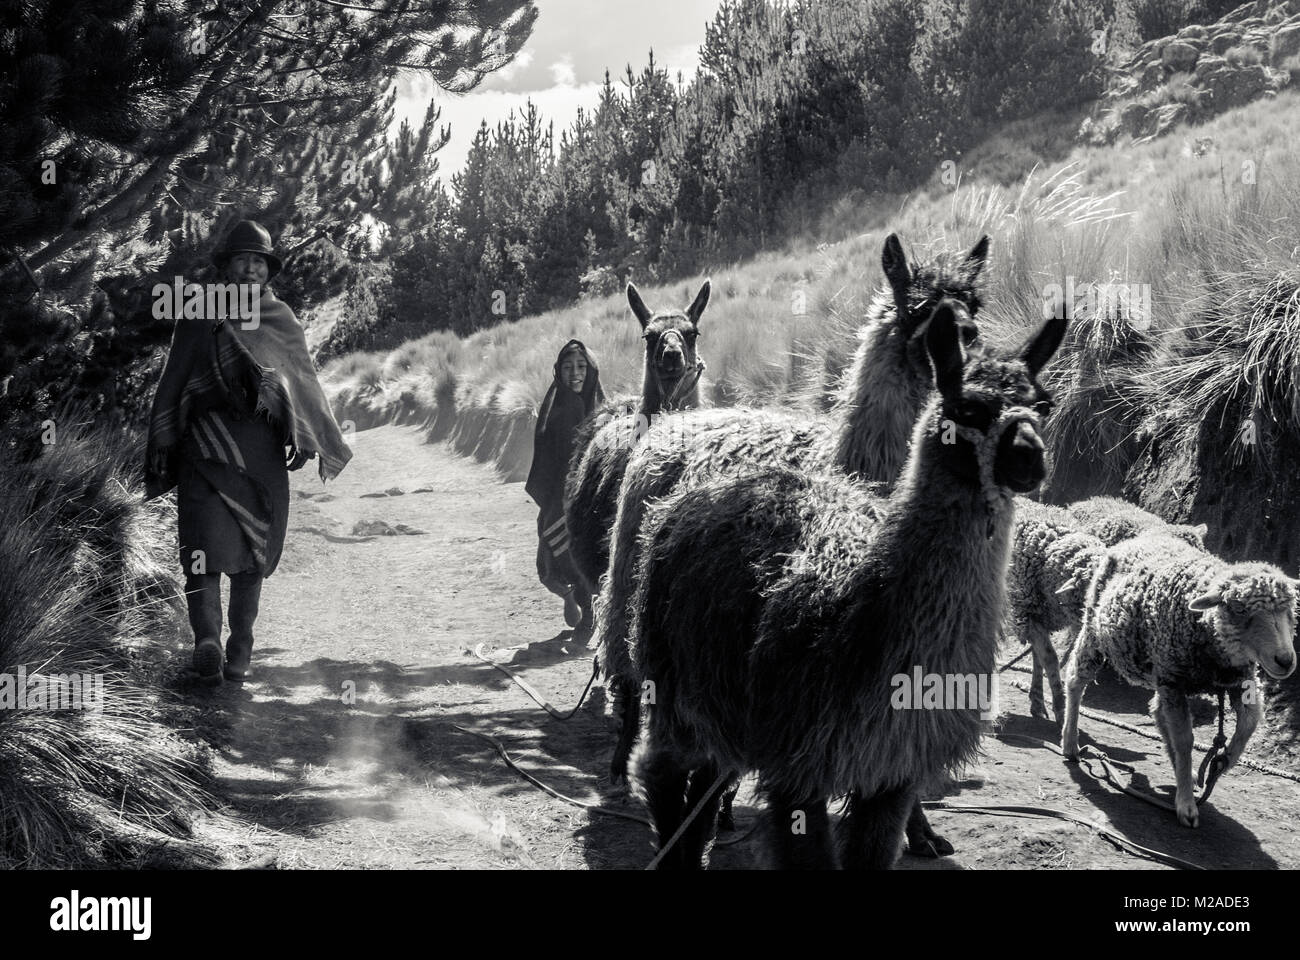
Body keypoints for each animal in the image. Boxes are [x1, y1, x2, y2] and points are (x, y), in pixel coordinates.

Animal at [1060, 528, 1294, 827]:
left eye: (1290, 609)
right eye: (1239, 607)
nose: (1285, 660)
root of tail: (1139, 537)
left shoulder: (1239, 678)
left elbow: (1249, 723)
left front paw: (1225, 760)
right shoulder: (1174, 680)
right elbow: (1184, 740)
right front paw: (1186, 805)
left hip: (1161, 671)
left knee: (1158, 712)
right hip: (1096, 632)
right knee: (1075, 680)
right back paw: (1070, 743)